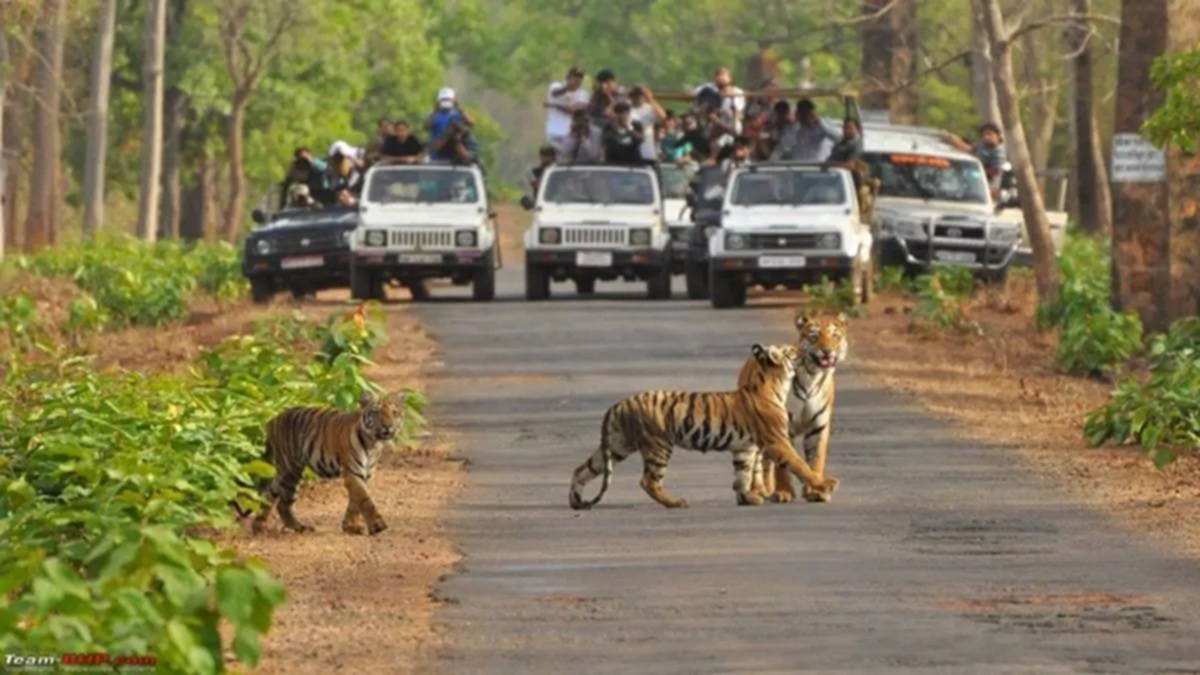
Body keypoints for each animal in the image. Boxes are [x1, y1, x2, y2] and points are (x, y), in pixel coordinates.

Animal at [233, 390, 406, 536]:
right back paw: (291, 527)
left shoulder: (365, 474)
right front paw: (377, 526)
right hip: (289, 470)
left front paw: (350, 526)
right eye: (376, 412)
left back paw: (264, 526)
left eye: (394, 412)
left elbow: (355, 501)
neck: (373, 444)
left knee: (272, 496)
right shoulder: (352, 472)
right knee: (281, 502)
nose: (388, 427)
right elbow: (365, 499)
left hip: (284, 472)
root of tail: (272, 420)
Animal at [568, 343, 840, 510]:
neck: (774, 383)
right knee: (648, 481)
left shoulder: (745, 447)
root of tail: (619, 403)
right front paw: (825, 484)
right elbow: (800, 464)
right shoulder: (777, 441)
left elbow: (742, 473)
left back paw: (576, 501)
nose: (804, 349)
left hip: (617, 445)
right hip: (658, 445)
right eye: (790, 350)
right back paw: (675, 502)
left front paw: (747, 498)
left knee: (582, 469)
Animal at [751, 311, 848, 505]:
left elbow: (816, 460)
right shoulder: (782, 427)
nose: (827, 350)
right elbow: (783, 464)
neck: (812, 375)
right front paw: (783, 492)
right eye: (814, 336)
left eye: (835, 336)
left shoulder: (818, 426)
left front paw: (816, 491)